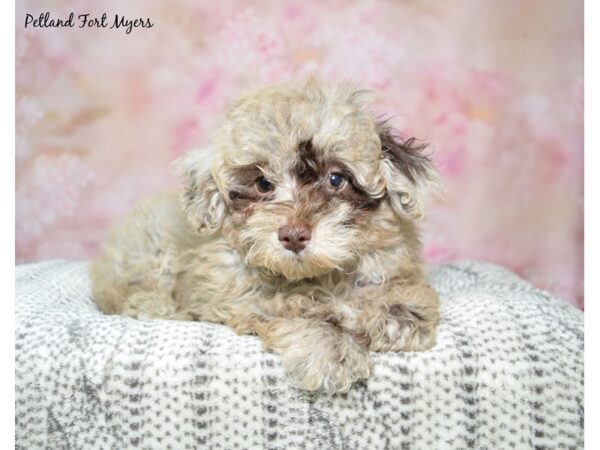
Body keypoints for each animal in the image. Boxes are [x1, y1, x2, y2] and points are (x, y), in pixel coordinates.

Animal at [92, 78, 440, 394]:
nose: (293, 236)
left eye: (336, 179)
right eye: (262, 184)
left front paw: (397, 313)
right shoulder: (239, 299)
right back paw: (152, 304)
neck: (314, 276)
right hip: (148, 252)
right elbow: (292, 308)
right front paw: (331, 347)